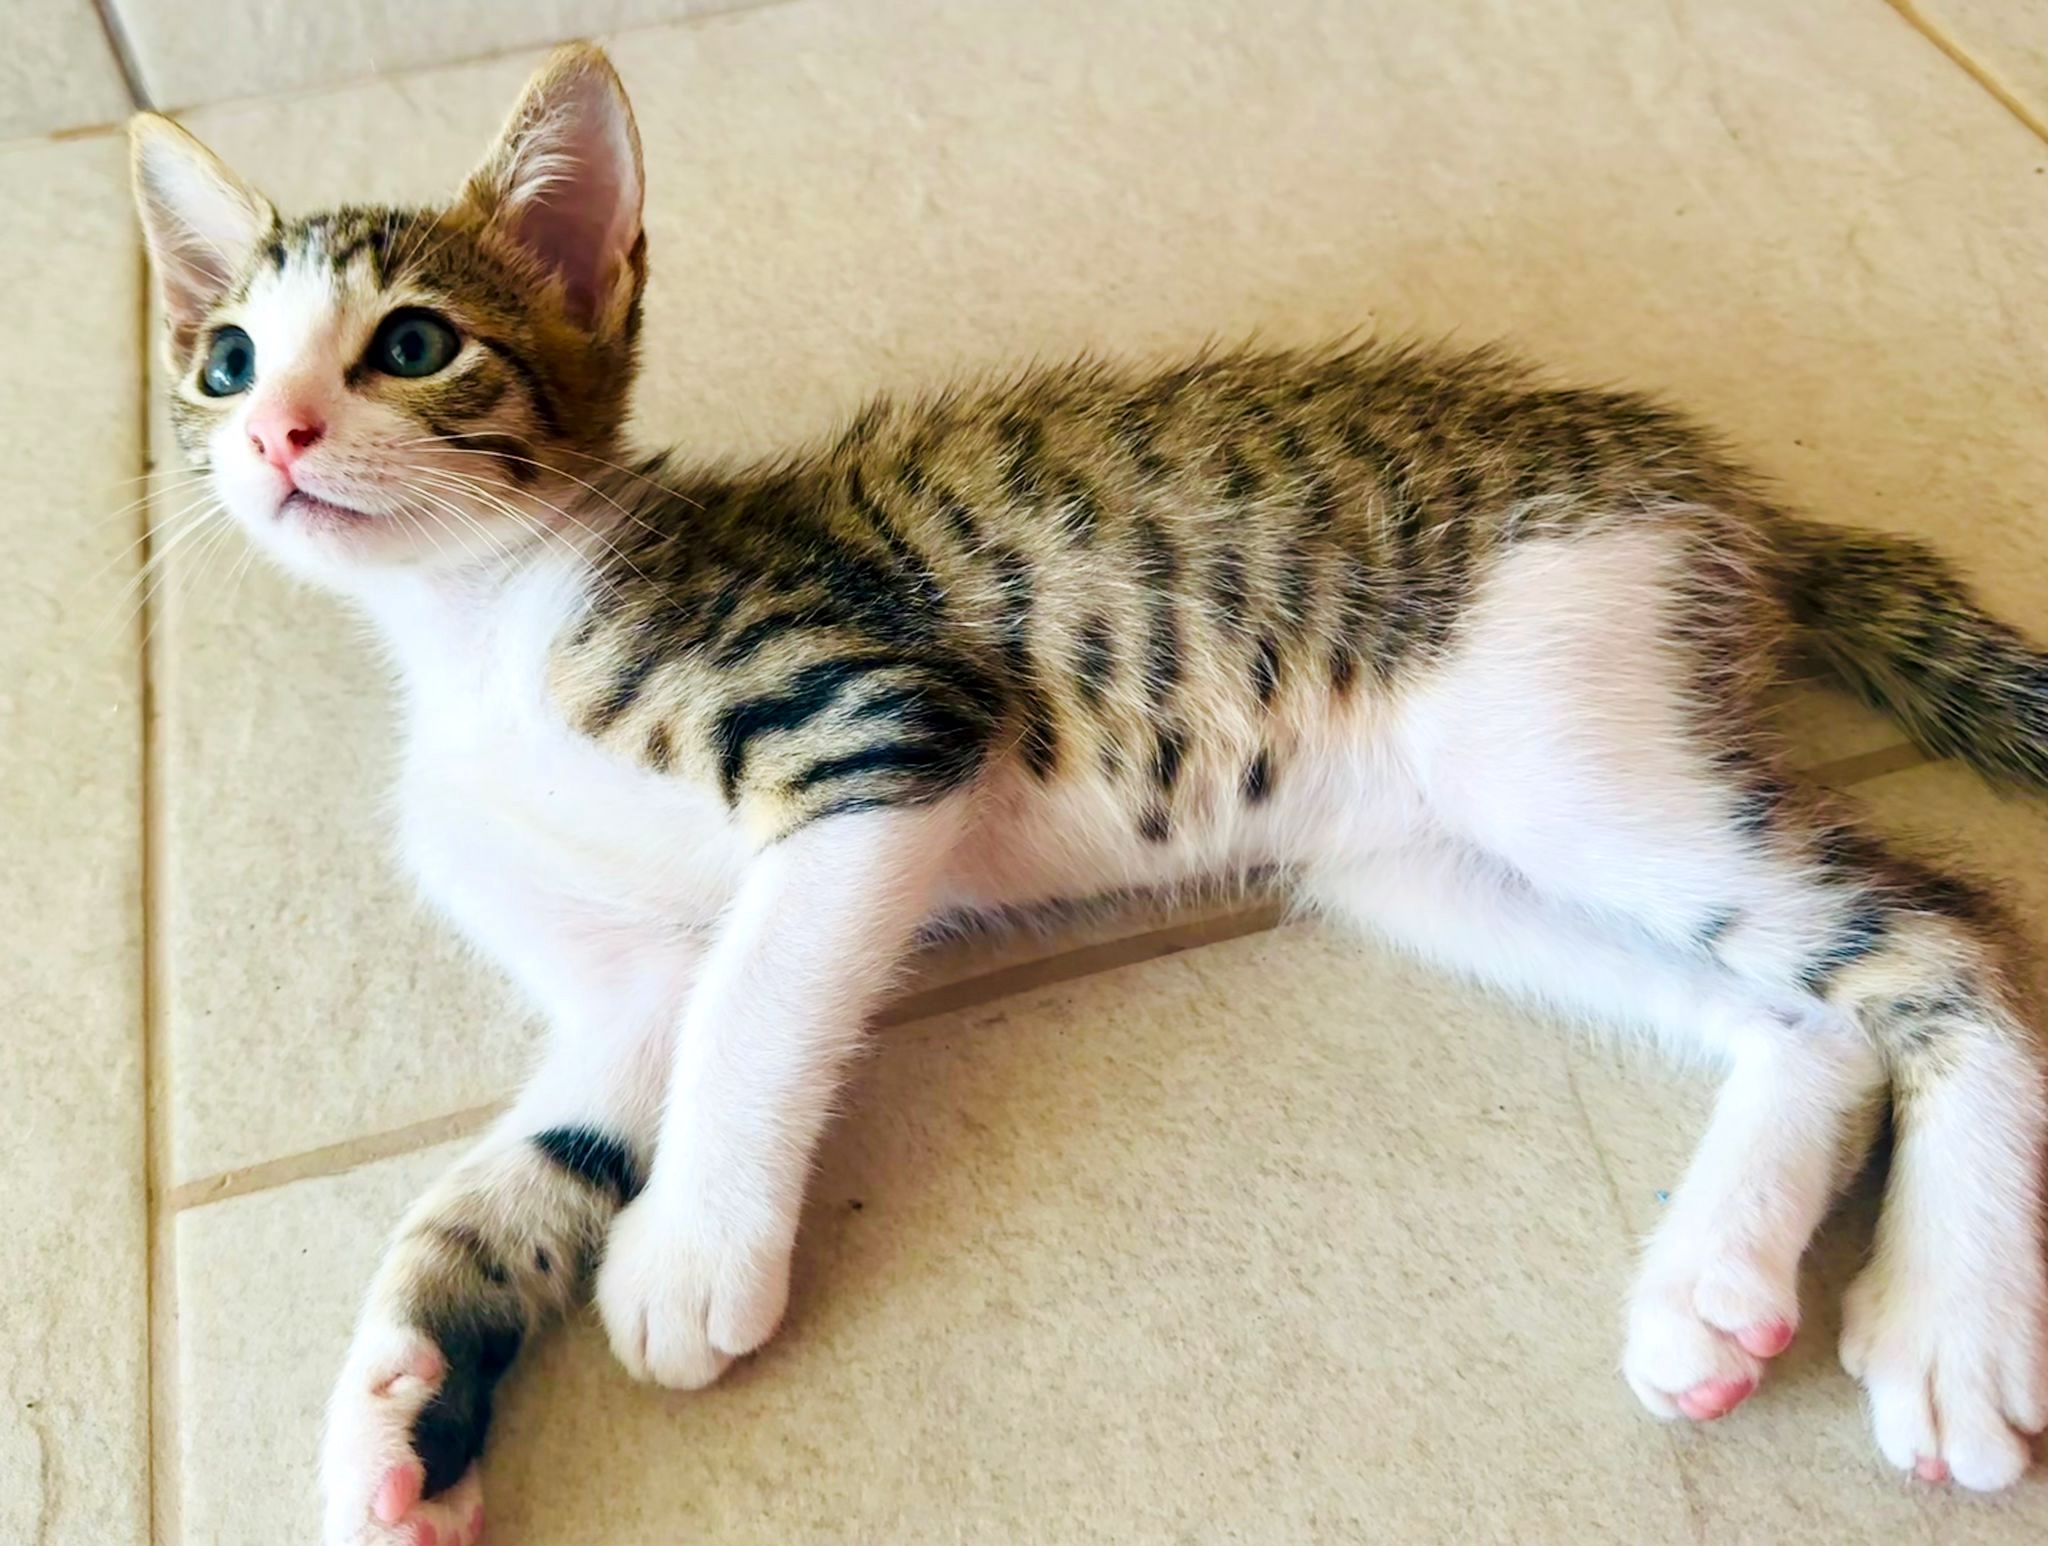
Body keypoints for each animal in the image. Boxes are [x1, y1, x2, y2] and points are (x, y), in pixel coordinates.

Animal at [132, 42, 2048, 1539]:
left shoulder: (869, 728)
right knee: (1803, 1016)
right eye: (223, 358)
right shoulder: (627, 983)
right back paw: (1715, 1292)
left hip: (1559, 731)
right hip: (1425, 853)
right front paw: (399, 1411)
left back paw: (1953, 1319)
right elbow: (508, 1172)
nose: (275, 434)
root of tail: (1720, 492)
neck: (476, 627)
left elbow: (757, 997)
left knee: (1944, 938)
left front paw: (689, 1251)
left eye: (412, 345)